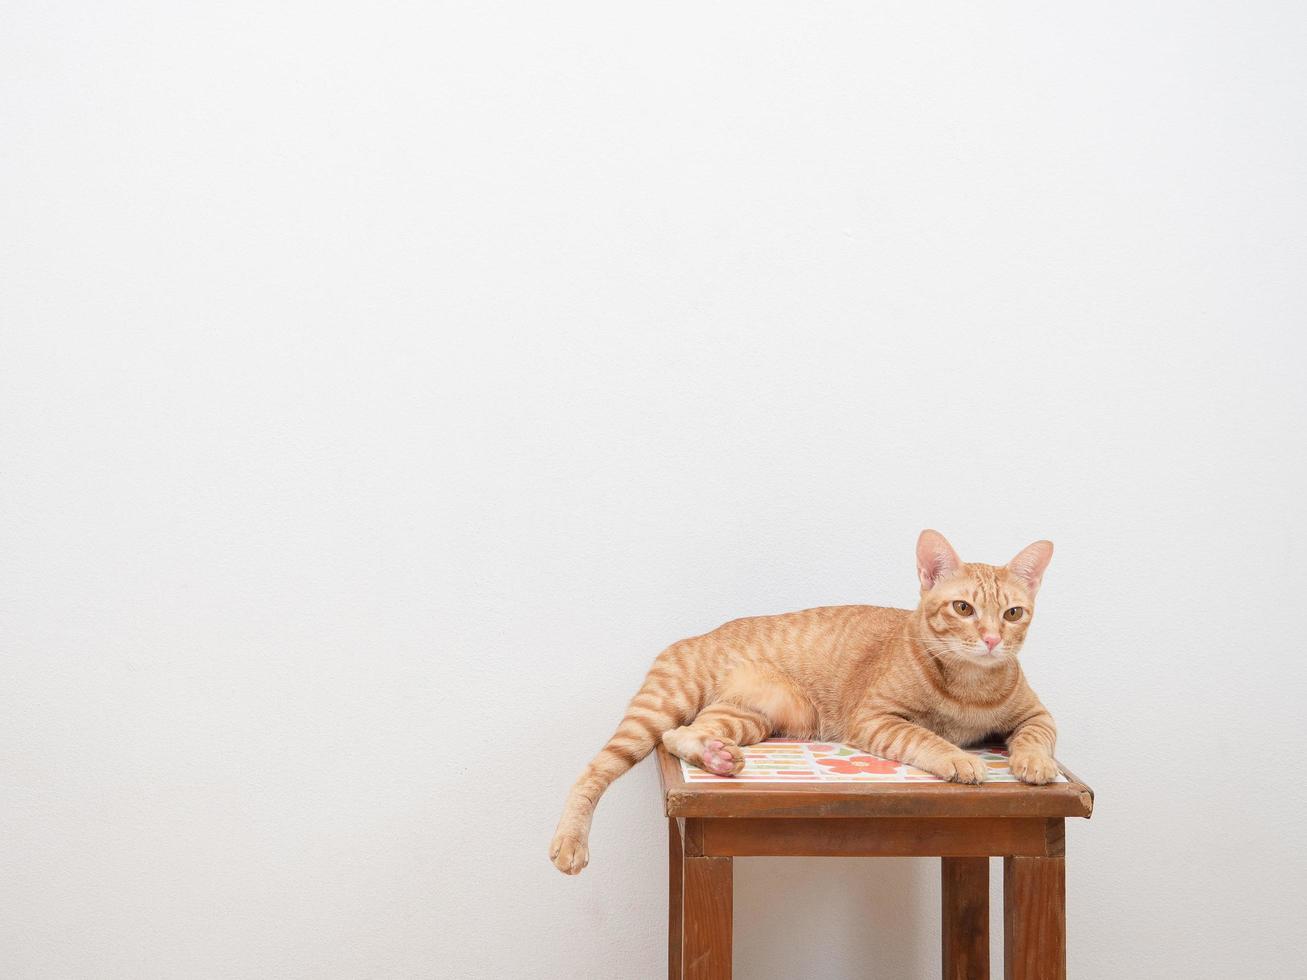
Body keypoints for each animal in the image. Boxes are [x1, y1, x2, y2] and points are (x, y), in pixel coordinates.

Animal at [546, 533, 1056, 878]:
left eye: (1012, 614)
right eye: (963, 608)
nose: (991, 640)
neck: (971, 685)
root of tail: (694, 637)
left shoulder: (1036, 714)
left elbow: (1036, 736)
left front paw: (1035, 764)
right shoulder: (875, 719)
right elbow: (926, 737)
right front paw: (959, 759)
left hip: (748, 717)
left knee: (681, 735)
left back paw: (718, 758)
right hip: (663, 705)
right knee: (598, 768)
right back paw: (570, 842)